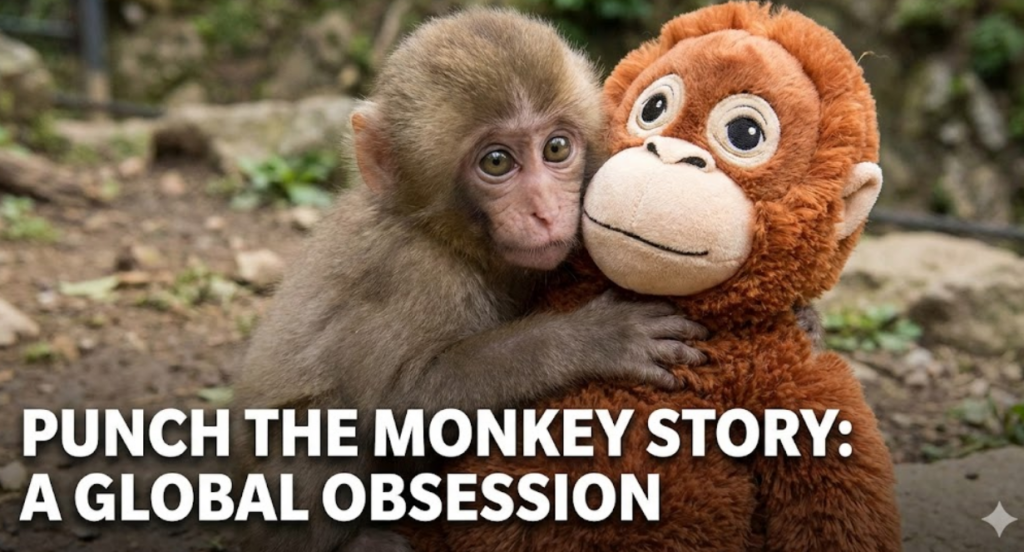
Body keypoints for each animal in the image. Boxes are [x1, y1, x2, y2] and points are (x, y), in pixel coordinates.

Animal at [232, 9, 709, 552]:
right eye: (496, 161)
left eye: (557, 148)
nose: (546, 211)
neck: (448, 238)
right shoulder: (411, 274)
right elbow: (398, 404)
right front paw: (597, 337)